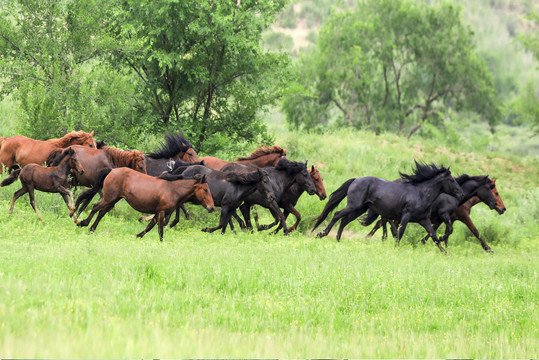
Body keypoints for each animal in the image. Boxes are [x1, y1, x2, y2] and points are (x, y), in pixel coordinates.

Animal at [77, 169, 215, 242]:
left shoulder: (159, 212)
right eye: (205, 190)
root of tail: (112, 170)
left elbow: (149, 227)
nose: (212, 207)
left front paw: (137, 236)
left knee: (101, 212)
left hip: (112, 200)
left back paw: (92, 229)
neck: (172, 190)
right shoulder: (162, 212)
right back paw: (83, 223)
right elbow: (160, 230)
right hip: (108, 198)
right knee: (95, 207)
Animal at [314, 162, 466, 252]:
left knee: (344, 220)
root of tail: (356, 179)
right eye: (451, 180)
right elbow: (400, 232)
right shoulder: (406, 216)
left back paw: (338, 239)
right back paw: (322, 234)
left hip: (359, 209)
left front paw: (445, 252)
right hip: (353, 206)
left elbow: (433, 235)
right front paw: (396, 248)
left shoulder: (424, 220)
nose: (462, 194)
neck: (421, 194)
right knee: (337, 214)